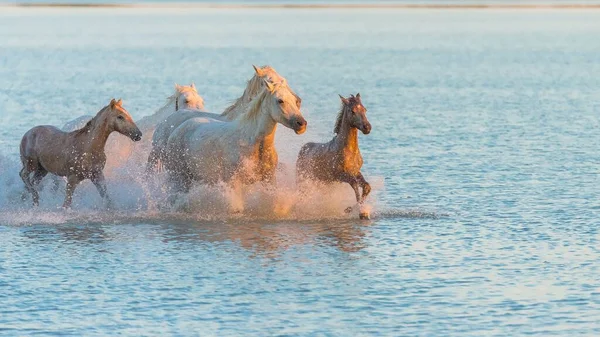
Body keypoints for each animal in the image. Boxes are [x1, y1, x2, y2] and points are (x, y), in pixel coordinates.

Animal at [163, 80, 304, 213]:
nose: (301, 123)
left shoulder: (269, 179)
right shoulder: (234, 182)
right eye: (280, 100)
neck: (252, 143)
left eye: (295, 100)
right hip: (179, 177)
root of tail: (176, 130)